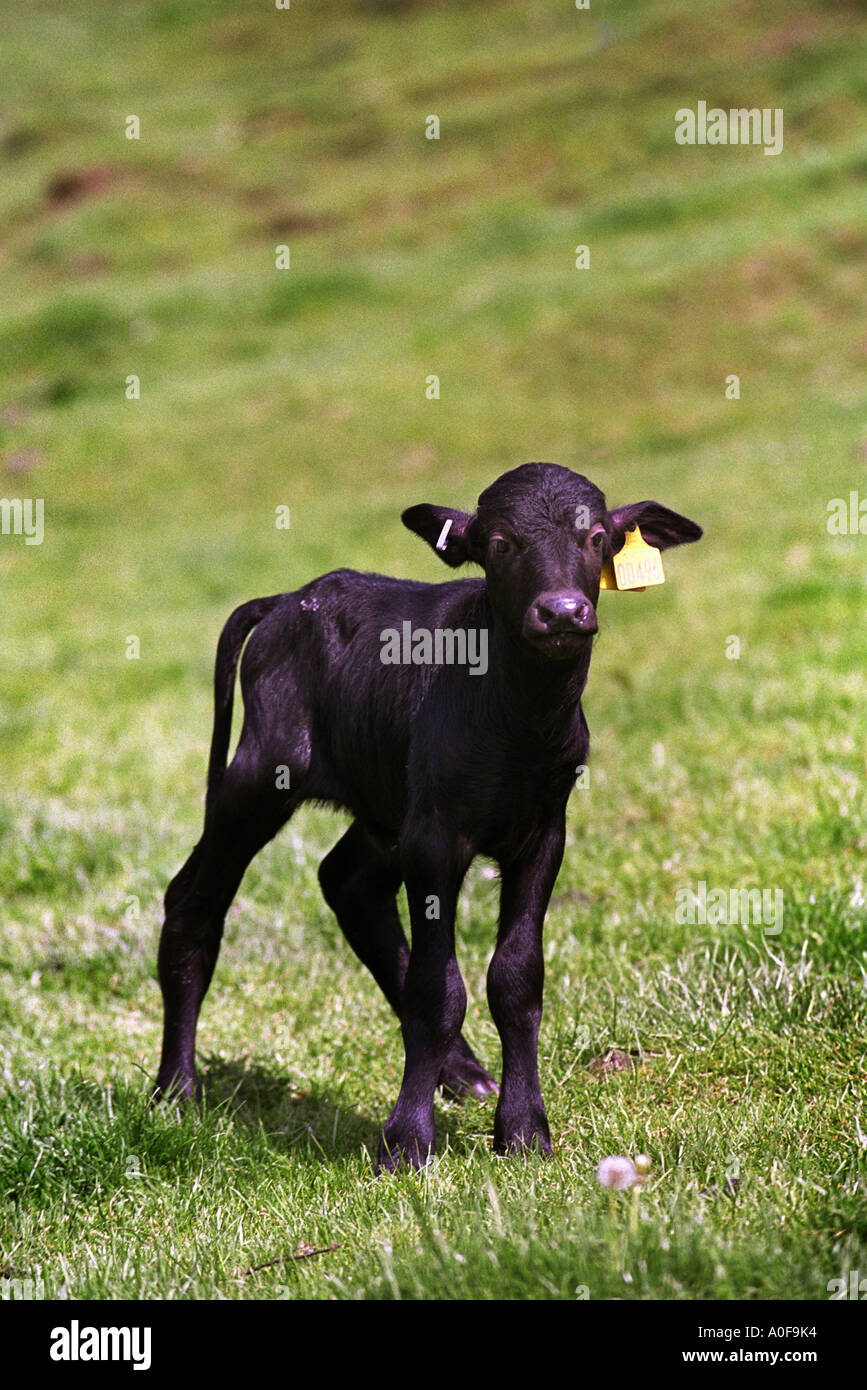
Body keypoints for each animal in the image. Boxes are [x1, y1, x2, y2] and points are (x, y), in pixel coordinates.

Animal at [154, 461, 697, 1167]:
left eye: (599, 537)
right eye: (499, 543)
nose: (561, 612)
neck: (515, 719)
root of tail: (284, 601)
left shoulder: (543, 831)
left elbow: (516, 979)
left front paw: (524, 1130)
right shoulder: (436, 837)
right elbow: (437, 990)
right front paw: (406, 1141)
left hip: (384, 806)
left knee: (347, 883)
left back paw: (464, 1075)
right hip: (263, 769)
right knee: (193, 901)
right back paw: (176, 1090)